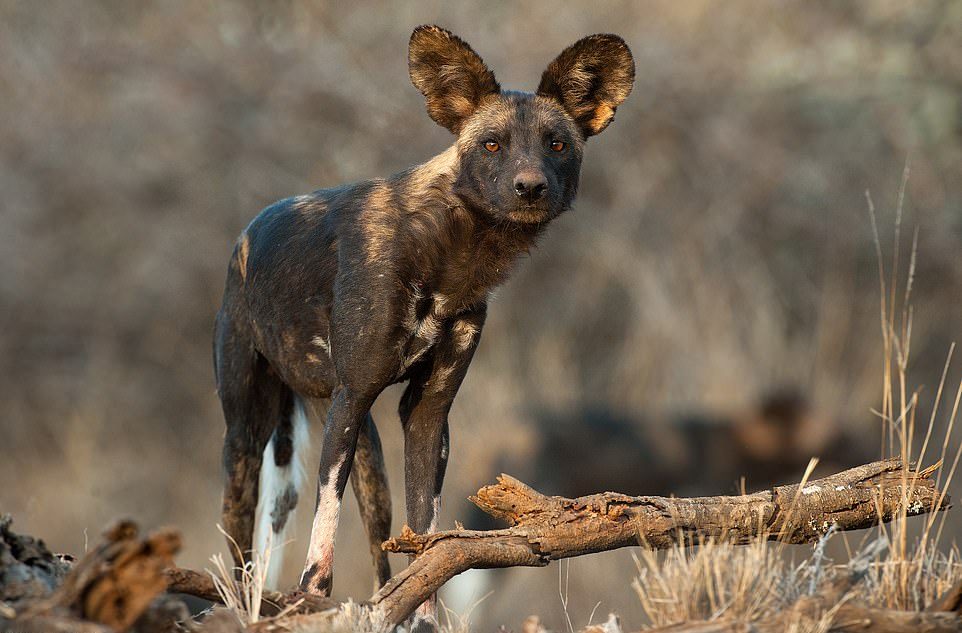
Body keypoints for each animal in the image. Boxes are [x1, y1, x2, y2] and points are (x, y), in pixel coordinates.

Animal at [215, 24, 632, 596]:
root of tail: (246, 233)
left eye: (557, 144)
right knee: (238, 542)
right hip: (252, 435)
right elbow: (324, 534)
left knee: (378, 543)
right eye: (492, 144)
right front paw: (312, 593)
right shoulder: (356, 395)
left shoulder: (427, 413)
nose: (530, 187)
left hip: (362, 446)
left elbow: (425, 546)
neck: (449, 255)